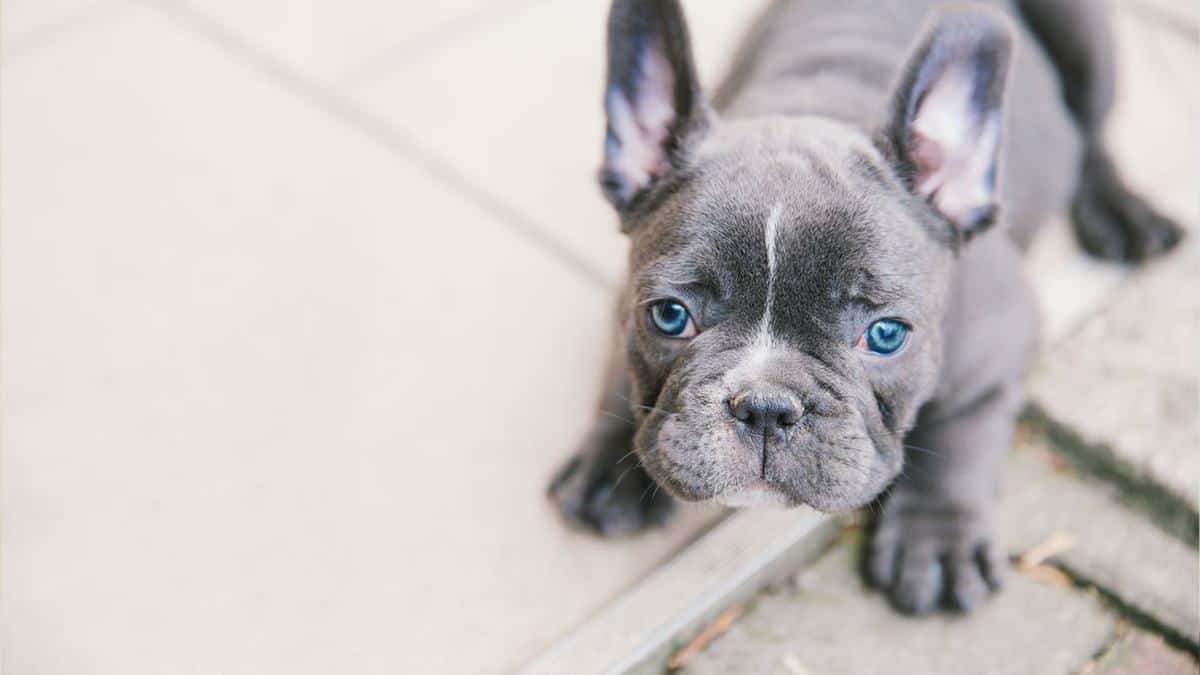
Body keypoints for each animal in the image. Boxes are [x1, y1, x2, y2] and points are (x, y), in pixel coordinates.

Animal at [549, 0, 1185, 612]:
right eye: (669, 316)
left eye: (885, 335)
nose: (765, 407)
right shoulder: (624, 297)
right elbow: (623, 379)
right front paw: (609, 466)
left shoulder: (1001, 338)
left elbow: (959, 430)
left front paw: (938, 538)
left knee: (1091, 130)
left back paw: (1121, 211)